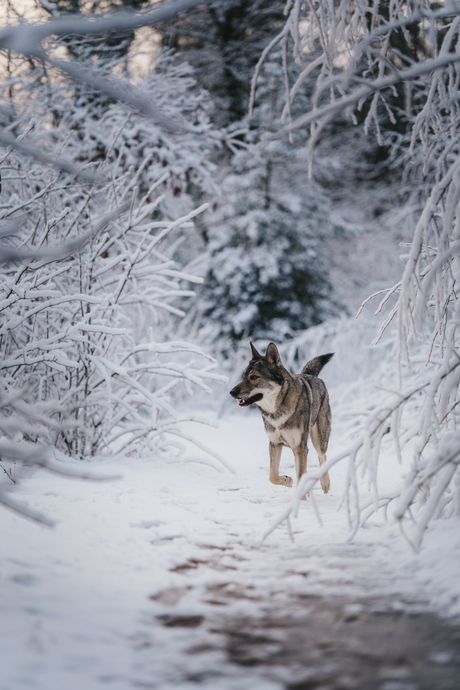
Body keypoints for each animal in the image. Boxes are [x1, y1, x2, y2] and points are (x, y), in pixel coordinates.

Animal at [229, 342, 330, 494]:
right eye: (243, 376)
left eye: (254, 377)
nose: (232, 392)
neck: (275, 410)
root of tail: (311, 375)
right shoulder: (275, 443)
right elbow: (272, 476)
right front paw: (287, 481)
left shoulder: (300, 447)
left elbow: (301, 475)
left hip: (318, 439)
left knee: (322, 456)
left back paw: (325, 484)